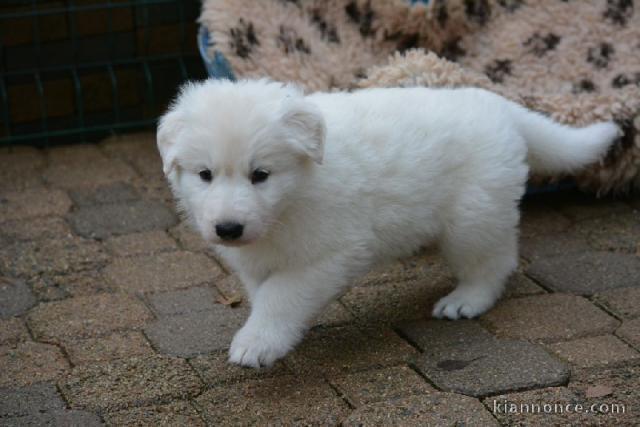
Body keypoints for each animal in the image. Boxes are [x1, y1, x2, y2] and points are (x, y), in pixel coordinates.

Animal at [156, 78, 620, 370]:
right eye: (204, 174)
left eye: (260, 175)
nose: (228, 229)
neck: (294, 197)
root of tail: (498, 106)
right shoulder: (257, 260)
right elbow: (263, 292)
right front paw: (271, 333)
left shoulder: (330, 253)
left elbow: (282, 296)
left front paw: (257, 342)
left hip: (473, 217)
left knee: (494, 261)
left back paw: (466, 300)